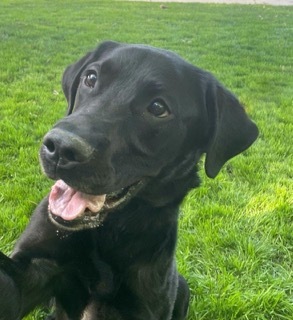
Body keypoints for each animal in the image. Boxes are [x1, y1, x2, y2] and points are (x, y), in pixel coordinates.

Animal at [0, 41, 256, 318]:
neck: (106, 232)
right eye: (91, 78)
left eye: (158, 108)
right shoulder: (33, 270)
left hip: (182, 287)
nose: (60, 148)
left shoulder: (144, 304)